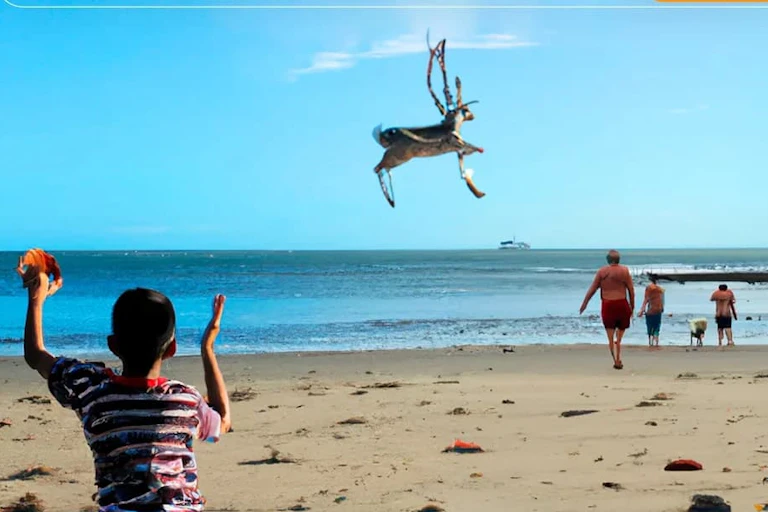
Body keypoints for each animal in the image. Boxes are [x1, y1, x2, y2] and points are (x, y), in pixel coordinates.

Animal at [371, 34, 486, 208]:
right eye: (467, 110)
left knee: (378, 168)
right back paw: (391, 198)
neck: (454, 124)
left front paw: (477, 191)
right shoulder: (457, 143)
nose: (473, 116)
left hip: (397, 157)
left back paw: (390, 196)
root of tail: (383, 138)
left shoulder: (458, 150)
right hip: (398, 157)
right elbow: (466, 151)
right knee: (377, 168)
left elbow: (463, 171)